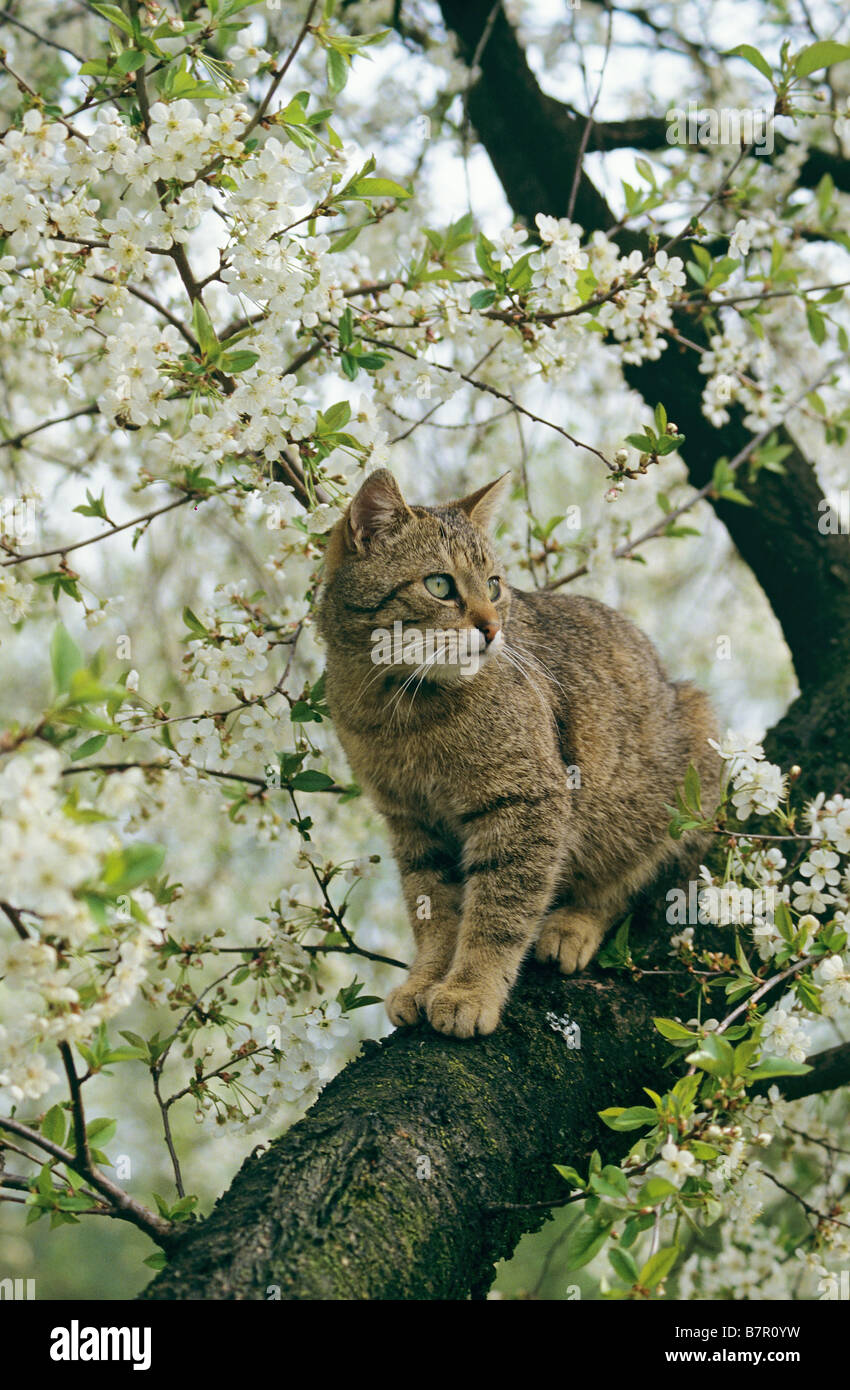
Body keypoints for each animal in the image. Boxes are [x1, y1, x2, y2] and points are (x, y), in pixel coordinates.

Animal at [315, 472, 711, 1039]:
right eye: (440, 586)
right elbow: (434, 912)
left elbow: (499, 912)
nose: (492, 628)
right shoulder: (411, 821)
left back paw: (572, 925)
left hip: (683, 771)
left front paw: (470, 990)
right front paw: (426, 980)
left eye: (495, 586)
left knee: (633, 879)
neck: (399, 708)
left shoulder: (527, 803)